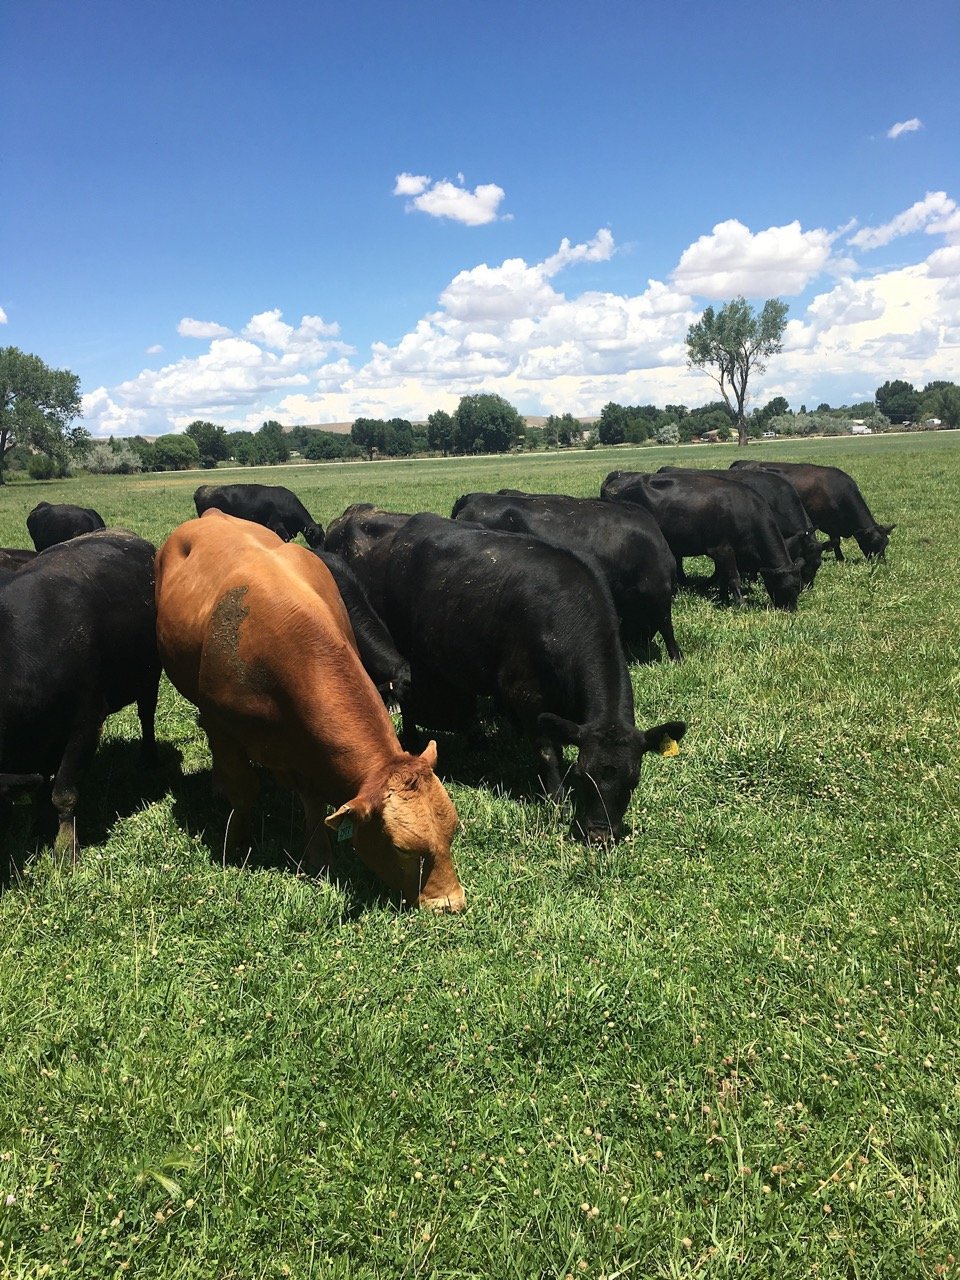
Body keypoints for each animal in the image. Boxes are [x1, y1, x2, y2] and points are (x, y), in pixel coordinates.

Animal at [0, 530, 160, 860]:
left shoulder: (86, 721)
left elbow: (63, 792)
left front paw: (66, 847)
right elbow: (42, 782)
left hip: (150, 675)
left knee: (147, 715)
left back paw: (149, 758)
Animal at [154, 510, 464, 912]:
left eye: (452, 832)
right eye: (403, 849)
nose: (452, 903)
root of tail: (211, 515)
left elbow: (314, 802)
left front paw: (319, 859)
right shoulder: (225, 730)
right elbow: (244, 793)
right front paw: (234, 843)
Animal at [339, 511, 686, 845]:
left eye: (633, 780)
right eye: (585, 775)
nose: (599, 834)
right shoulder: (526, 694)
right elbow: (547, 751)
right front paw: (556, 798)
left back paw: (478, 740)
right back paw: (413, 740)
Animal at [601, 470, 803, 610]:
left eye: (798, 587)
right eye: (786, 586)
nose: (791, 609)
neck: (745, 511)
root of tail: (619, 475)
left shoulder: (725, 552)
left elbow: (723, 577)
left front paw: (723, 598)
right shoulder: (722, 548)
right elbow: (733, 577)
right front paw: (741, 603)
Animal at [730, 460, 895, 561]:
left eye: (886, 543)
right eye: (873, 542)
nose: (882, 563)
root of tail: (742, 463)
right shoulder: (829, 524)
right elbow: (836, 541)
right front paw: (840, 558)